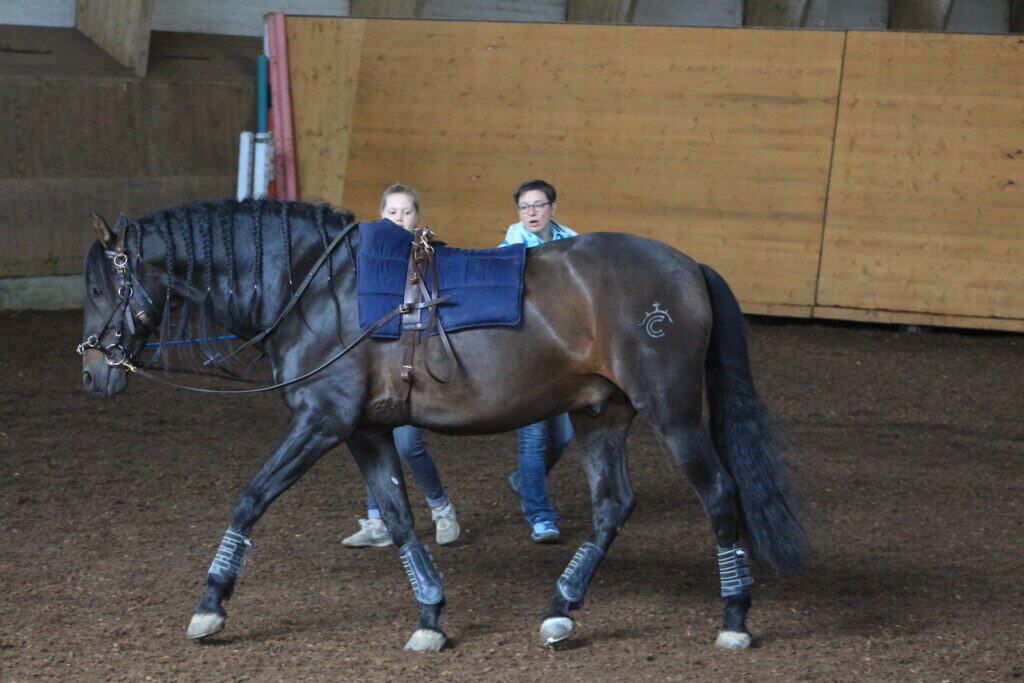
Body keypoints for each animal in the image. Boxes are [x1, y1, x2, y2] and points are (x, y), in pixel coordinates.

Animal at [79, 197, 806, 651]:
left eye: (96, 287)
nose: (91, 370)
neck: (316, 287)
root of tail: (688, 267)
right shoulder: (366, 430)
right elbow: (400, 515)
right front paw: (430, 612)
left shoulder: (321, 421)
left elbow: (250, 499)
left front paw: (211, 605)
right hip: (600, 413)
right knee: (612, 506)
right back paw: (561, 610)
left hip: (672, 412)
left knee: (721, 495)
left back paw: (735, 617)